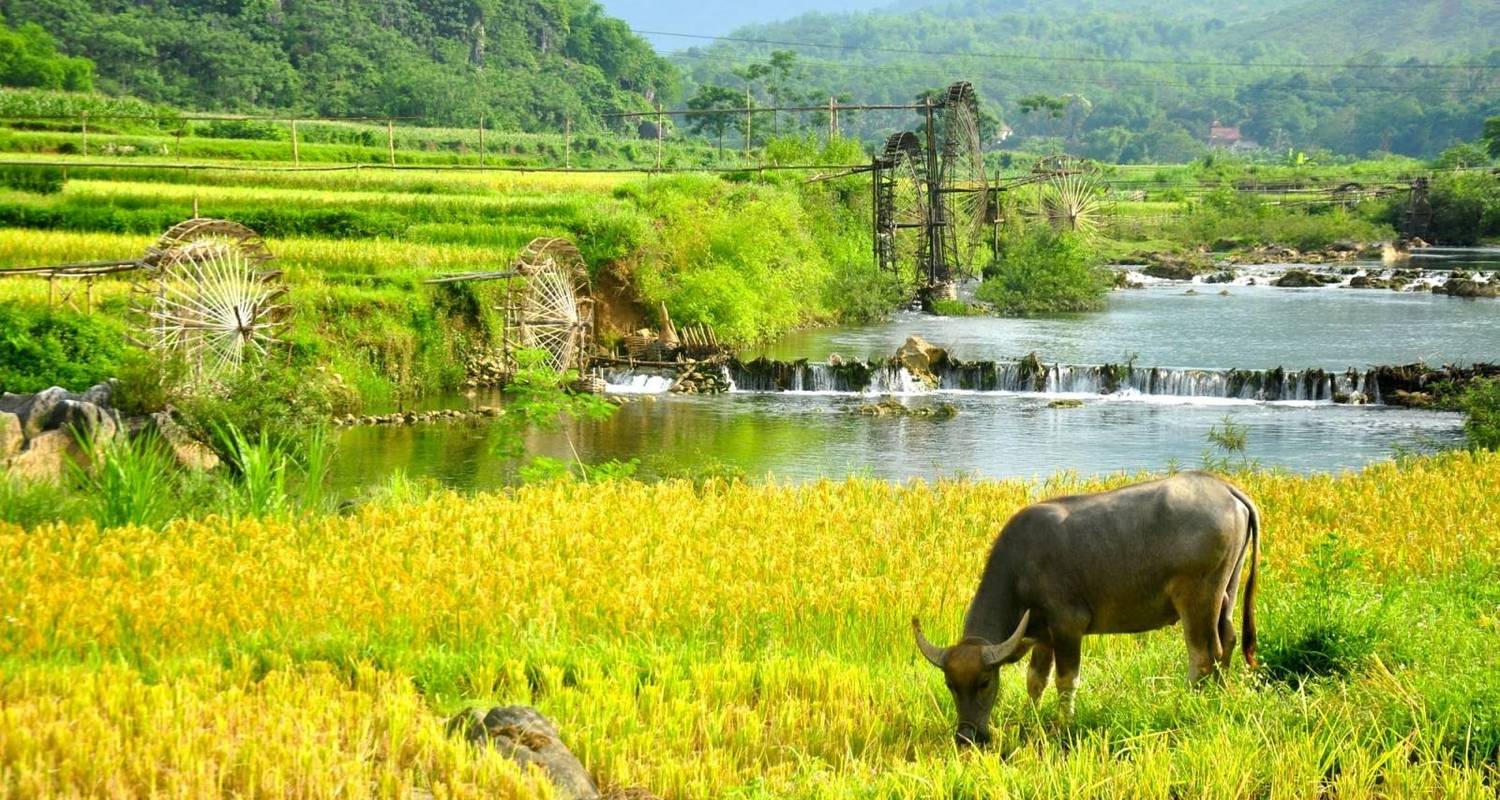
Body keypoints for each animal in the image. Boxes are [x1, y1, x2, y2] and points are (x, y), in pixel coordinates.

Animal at [912, 471, 1254, 744]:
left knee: (1202, 656)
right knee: (1227, 642)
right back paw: (1221, 694)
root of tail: (1224, 488)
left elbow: (1066, 681)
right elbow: (1035, 680)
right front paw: (1029, 717)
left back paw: (1187, 702)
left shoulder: (1068, 627)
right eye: (950, 685)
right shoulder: (1043, 636)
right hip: (1227, 591)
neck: (1021, 568)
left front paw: (1062, 725)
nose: (966, 737)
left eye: (985, 683)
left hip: (1197, 599)